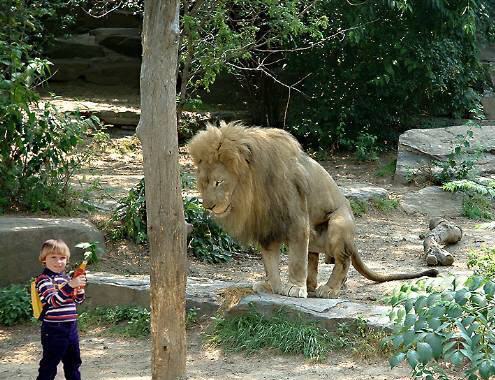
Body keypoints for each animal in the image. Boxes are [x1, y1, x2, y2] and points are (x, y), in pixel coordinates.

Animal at [187, 121, 438, 296]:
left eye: (219, 182)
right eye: (203, 183)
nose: (207, 205)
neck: (253, 190)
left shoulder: (297, 219)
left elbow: (296, 259)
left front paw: (294, 288)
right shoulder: (267, 225)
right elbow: (270, 261)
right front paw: (273, 285)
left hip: (338, 224)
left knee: (343, 260)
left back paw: (329, 289)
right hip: (316, 237)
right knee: (313, 258)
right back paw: (311, 286)